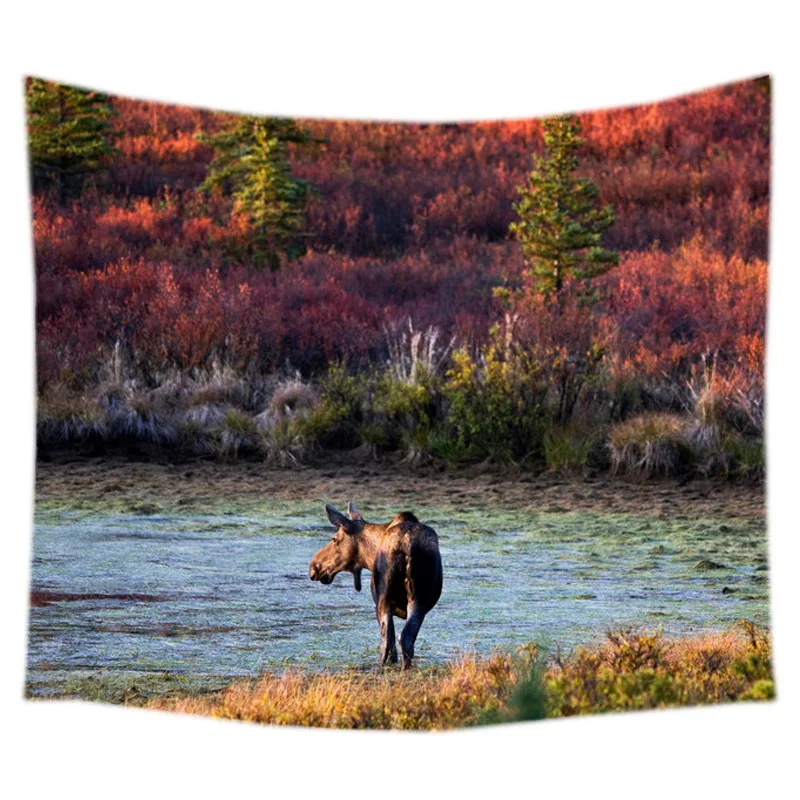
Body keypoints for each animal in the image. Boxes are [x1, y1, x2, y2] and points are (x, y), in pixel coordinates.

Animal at [309, 501, 442, 669]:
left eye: (334, 539)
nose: (314, 567)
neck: (370, 556)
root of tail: (406, 543)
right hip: (419, 600)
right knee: (407, 639)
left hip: (384, 600)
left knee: (386, 643)